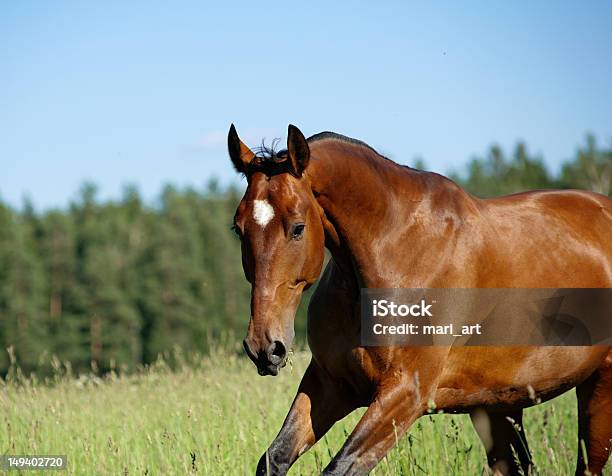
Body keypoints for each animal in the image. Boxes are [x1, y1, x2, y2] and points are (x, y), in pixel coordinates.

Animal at [227, 124, 608, 474]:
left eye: (297, 227)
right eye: (238, 228)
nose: (264, 348)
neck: (395, 253)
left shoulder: (405, 394)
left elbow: (340, 467)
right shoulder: (331, 385)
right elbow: (274, 459)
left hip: (600, 384)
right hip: (498, 405)